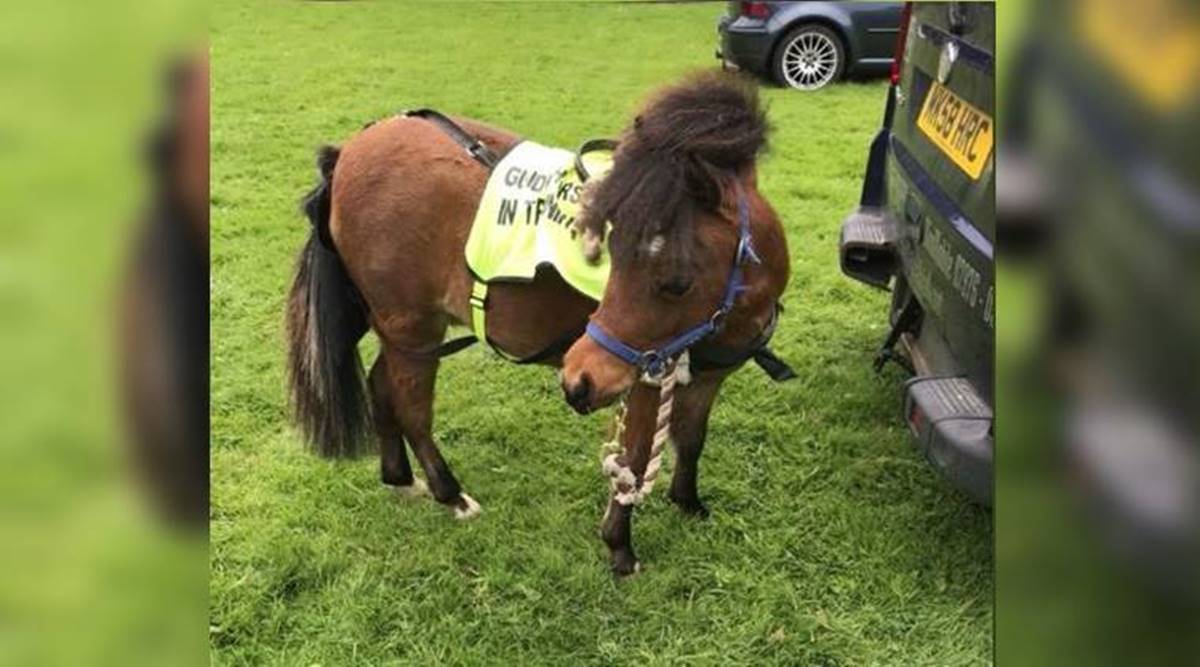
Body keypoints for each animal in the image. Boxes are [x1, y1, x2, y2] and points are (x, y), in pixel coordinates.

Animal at [285, 71, 790, 575]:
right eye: (611, 252)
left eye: (677, 282)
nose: (578, 381)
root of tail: (349, 151)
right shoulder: (646, 383)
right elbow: (634, 460)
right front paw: (620, 548)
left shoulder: (706, 379)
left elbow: (691, 440)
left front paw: (688, 504)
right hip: (412, 328)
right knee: (412, 410)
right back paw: (451, 495)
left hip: (400, 333)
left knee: (380, 386)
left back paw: (400, 479)